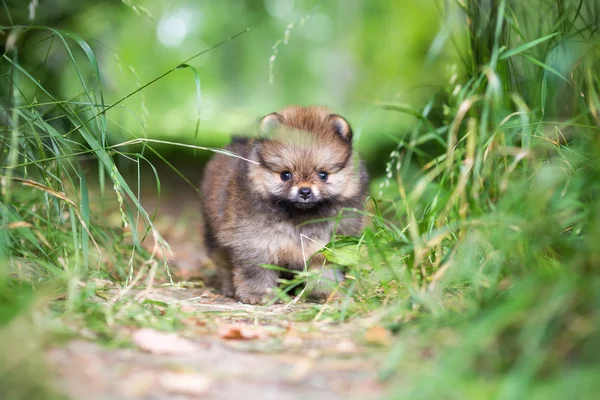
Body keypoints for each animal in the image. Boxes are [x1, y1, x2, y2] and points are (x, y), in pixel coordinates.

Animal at [200, 104, 366, 304]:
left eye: (323, 175)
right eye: (286, 175)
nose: (305, 191)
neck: (300, 218)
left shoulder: (325, 245)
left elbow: (324, 270)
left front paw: (328, 292)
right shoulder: (255, 242)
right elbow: (257, 271)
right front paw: (258, 294)